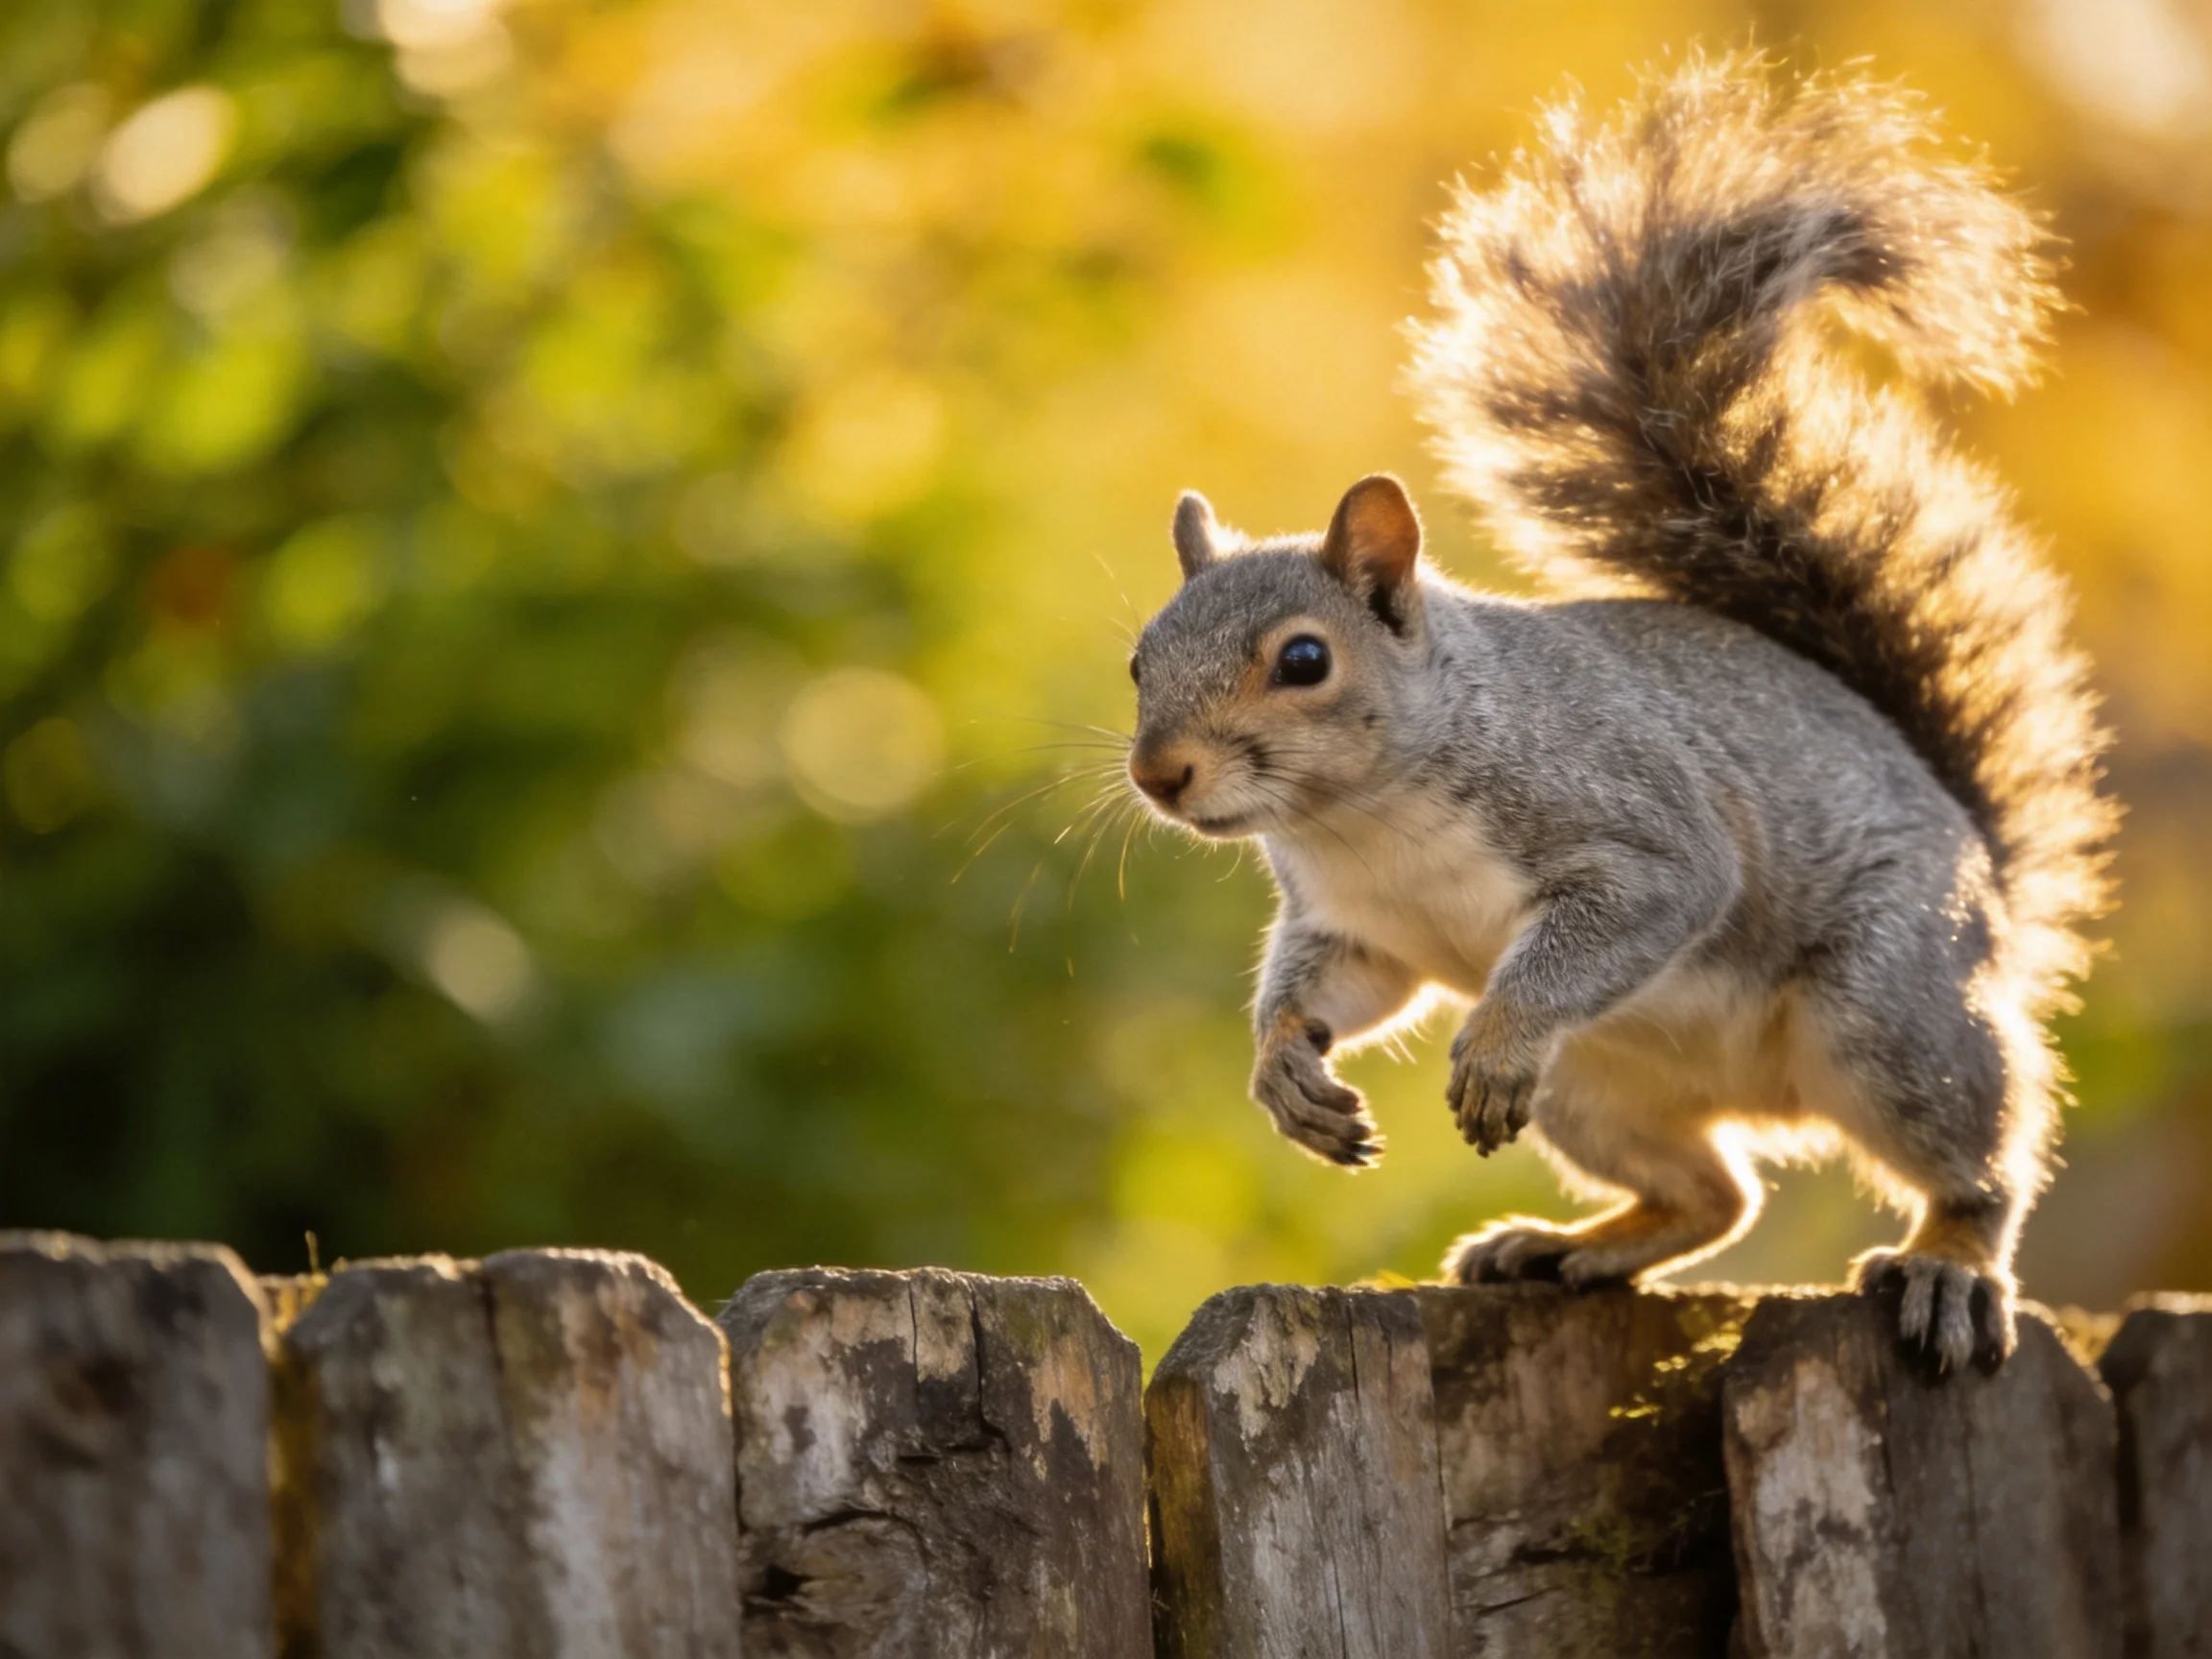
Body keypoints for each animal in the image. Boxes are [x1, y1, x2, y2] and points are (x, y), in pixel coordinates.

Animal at [1123, 51, 2116, 1373]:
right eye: (1139, 662)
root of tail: (1991, 876)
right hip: (1599, 1088)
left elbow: (1643, 903)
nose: (1159, 774)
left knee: (1972, 1164)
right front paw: (1285, 1070)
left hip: (1890, 1010)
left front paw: (1494, 1037)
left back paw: (1951, 1265)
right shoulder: (1357, 927)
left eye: (1303, 659)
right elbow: (1329, 991)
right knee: (1719, 1196)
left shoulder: (1634, 821)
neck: (1366, 819)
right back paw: (1561, 1245)